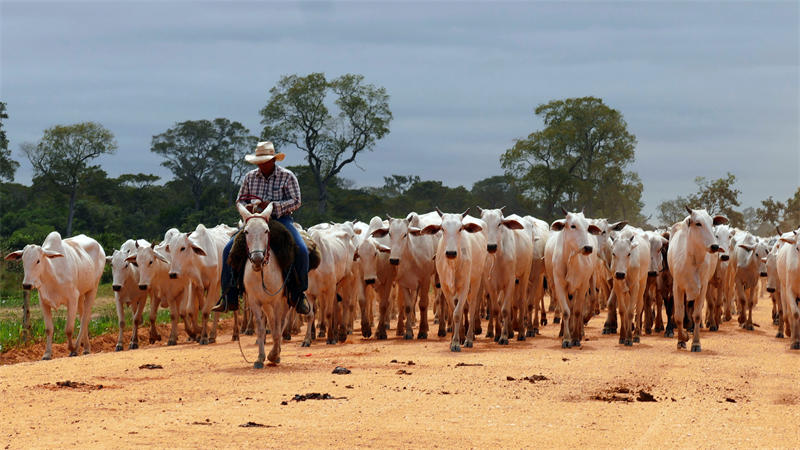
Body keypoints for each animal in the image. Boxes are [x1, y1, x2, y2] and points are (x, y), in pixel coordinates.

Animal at [422, 207, 484, 352]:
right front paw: (455, 340)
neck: (453, 264)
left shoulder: (464, 286)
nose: (450, 253)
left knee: (472, 307)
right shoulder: (445, 286)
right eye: (442, 228)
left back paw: (469, 338)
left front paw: (457, 342)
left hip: (476, 281)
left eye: (460, 228)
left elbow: (457, 313)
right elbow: (453, 309)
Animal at [544, 210, 600, 348]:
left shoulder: (582, 285)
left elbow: (578, 311)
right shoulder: (559, 285)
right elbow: (566, 311)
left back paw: (580, 332)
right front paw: (566, 338)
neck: (571, 259)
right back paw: (563, 331)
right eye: (573, 226)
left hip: (590, 279)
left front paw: (575, 338)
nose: (588, 248)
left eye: (587, 227)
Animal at [664, 207, 728, 352]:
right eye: (698, 223)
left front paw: (696, 343)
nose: (715, 246)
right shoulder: (677, 287)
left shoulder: (703, 286)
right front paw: (682, 339)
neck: (693, 259)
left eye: (712, 224)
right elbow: (678, 315)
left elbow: (697, 315)